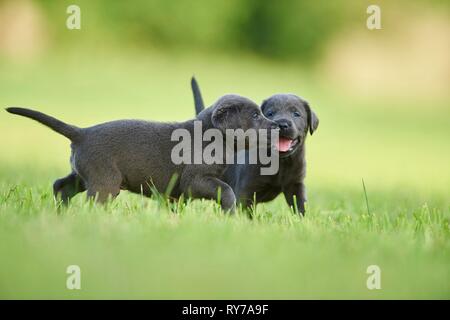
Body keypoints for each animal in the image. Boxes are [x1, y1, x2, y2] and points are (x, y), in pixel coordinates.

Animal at [5, 94, 276, 211]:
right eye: (255, 115)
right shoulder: (196, 180)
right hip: (105, 181)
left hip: (84, 174)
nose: (278, 126)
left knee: (61, 186)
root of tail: (82, 133)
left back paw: (61, 213)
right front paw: (231, 213)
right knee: (91, 203)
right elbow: (227, 190)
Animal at [192, 76, 318, 214]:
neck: (281, 163)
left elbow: (300, 206)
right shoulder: (245, 191)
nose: (282, 124)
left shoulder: (295, 185)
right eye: (270, 113)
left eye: (296, 114)